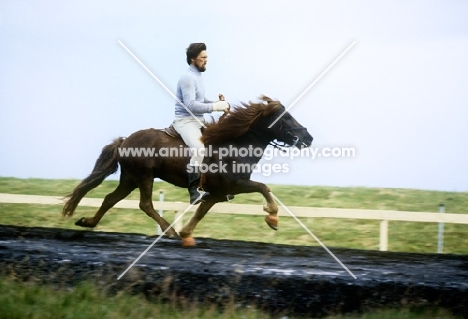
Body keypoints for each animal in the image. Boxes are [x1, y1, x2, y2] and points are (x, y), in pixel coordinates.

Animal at [62, 96, 310, 246]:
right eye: (286, 116)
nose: (309, 137)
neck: (235, 144)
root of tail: (125, 141)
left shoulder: (218, 193)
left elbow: (201, 212)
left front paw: (187, 233)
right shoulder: (235, 184)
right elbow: (264, 188)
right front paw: (272, 217)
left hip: (130, 178)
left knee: (110, 199)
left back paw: (88, 222)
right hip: (144, 176)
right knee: (145, 204)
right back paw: (168, 230)